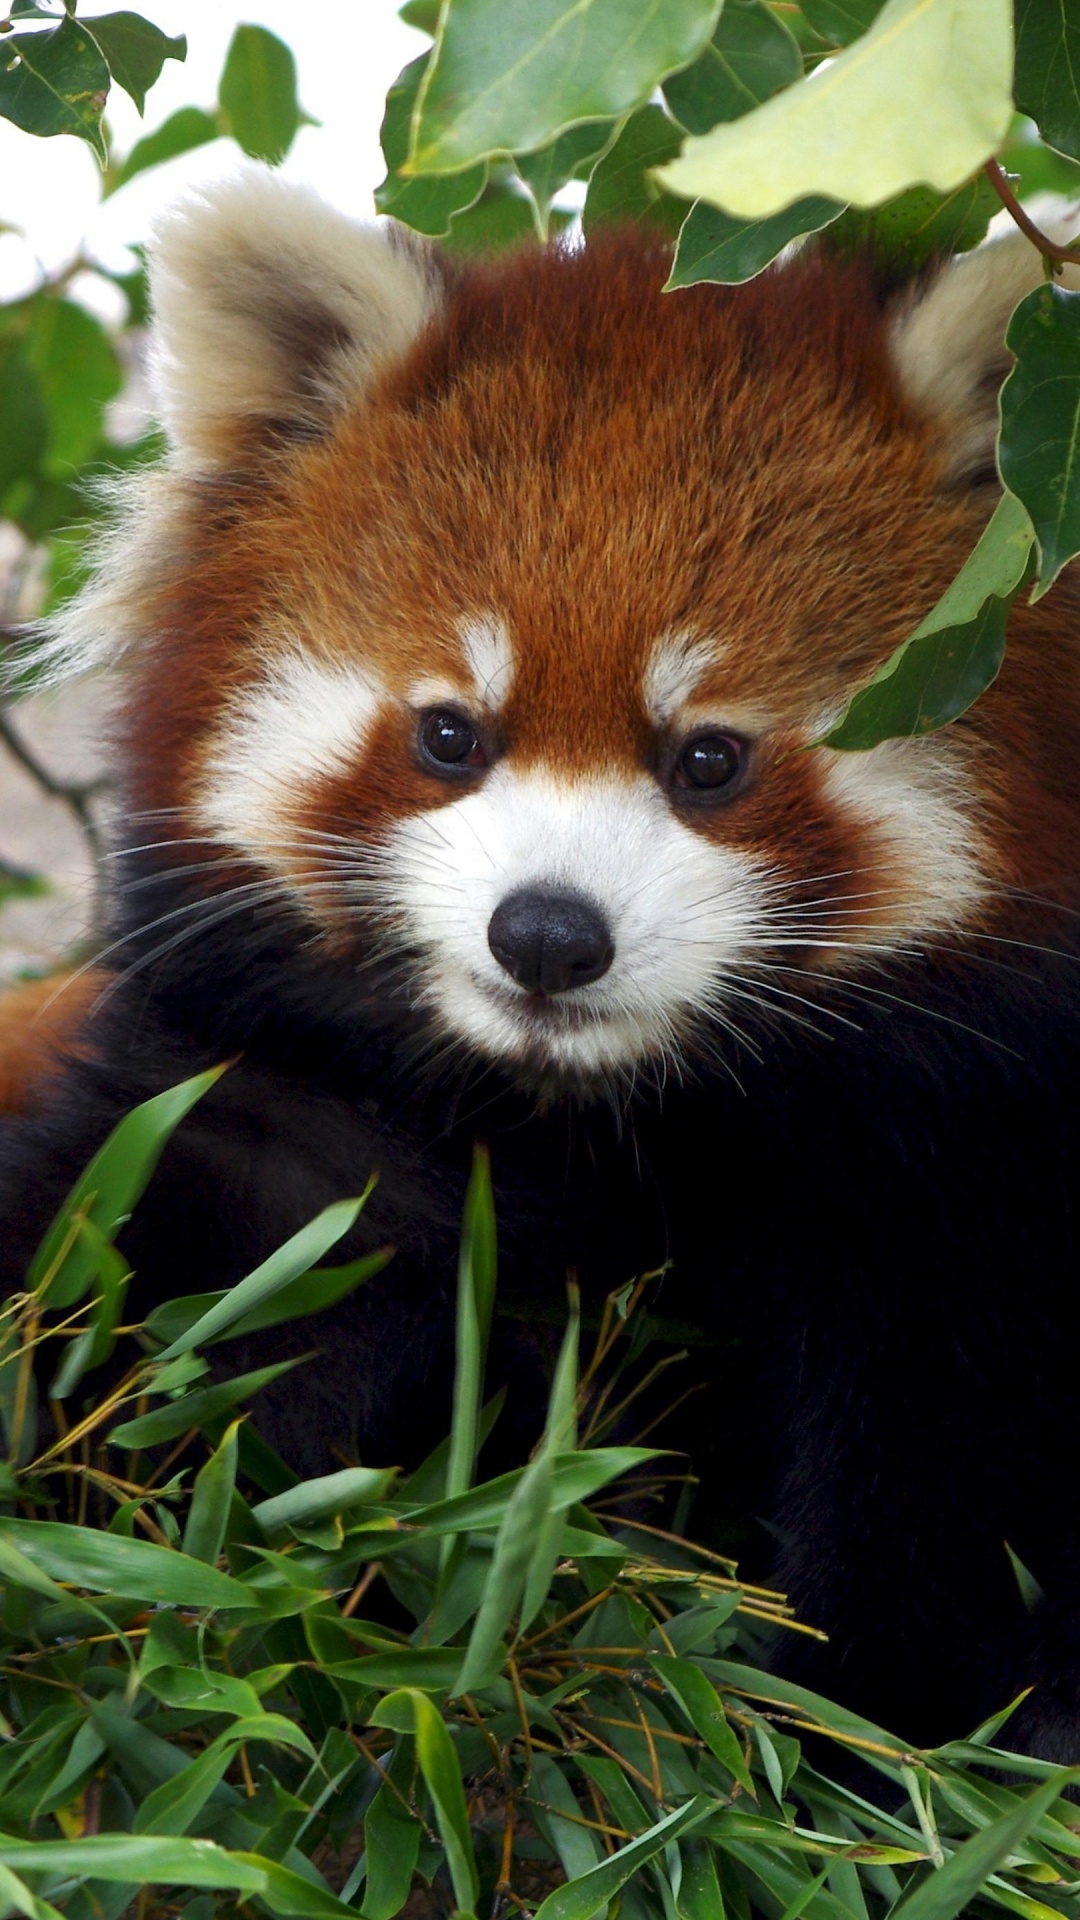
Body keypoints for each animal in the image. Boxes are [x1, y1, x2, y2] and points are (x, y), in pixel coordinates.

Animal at [2, 171, 1078, 1759]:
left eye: (710, 760)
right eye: (451, 733)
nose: (550, 934)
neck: (580, 1118)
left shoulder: (956, 1177)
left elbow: (944, 1487)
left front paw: (884, 1725)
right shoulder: (259, 1102)